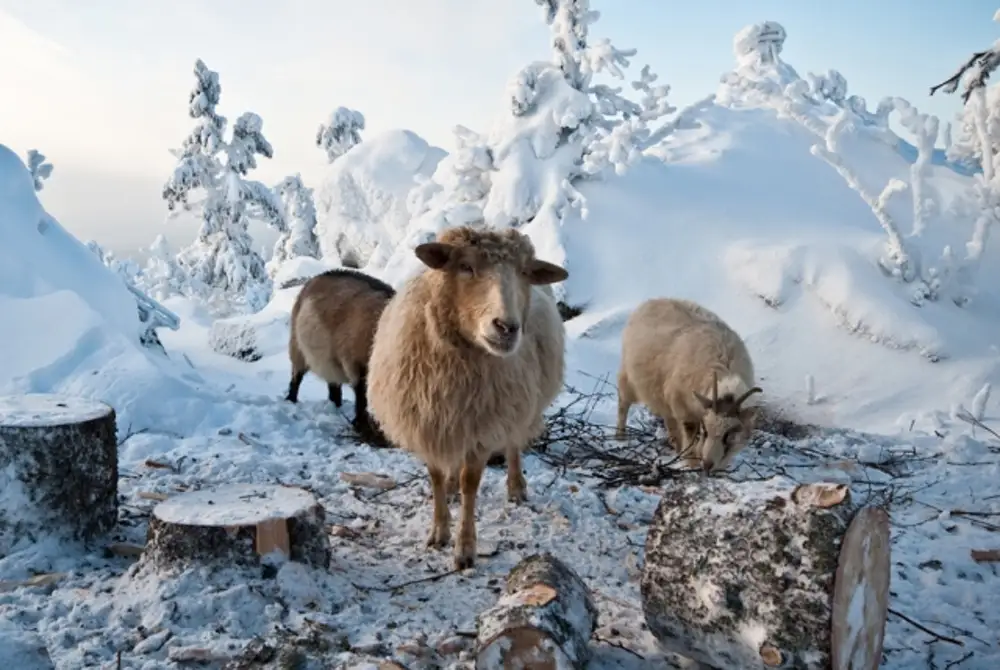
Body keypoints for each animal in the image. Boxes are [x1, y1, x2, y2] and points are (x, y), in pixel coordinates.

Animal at [286, 268, 394, 446]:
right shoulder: (356, 365)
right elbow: (361, 397)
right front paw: (360, 425)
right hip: (298, 349)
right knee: (296, 377)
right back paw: (290, 400)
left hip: (329, 363)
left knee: (333, 388)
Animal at [368, 226, 572, 568]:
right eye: (465, 267)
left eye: (524, 273)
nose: (507, 327)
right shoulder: (429, 421)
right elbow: (436, 476)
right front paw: (439, 531)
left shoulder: (483, 426)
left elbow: (471, 483)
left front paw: (464, 547)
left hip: (517, 406)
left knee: (514, 443)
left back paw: (516, 486)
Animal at [612, 296, 760, 476]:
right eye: (705, 430)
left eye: (728, 435)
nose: (707, 465)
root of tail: (650, 301)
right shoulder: (683, 407)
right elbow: (689, 432)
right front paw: (691, 462)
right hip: (629, 377)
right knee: (623, 403)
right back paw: (620, 437)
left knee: (668, 419)